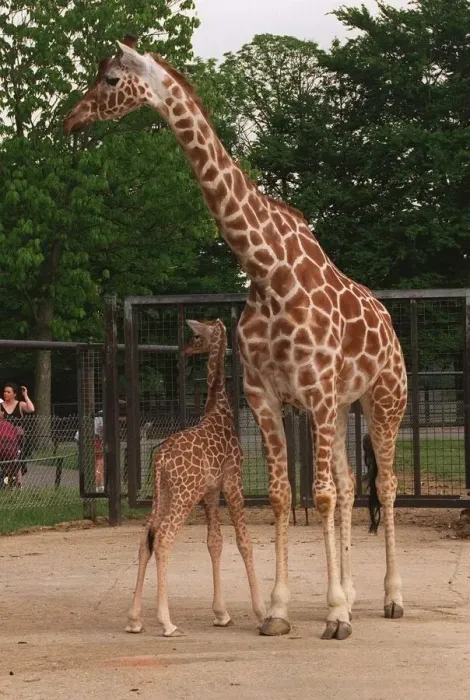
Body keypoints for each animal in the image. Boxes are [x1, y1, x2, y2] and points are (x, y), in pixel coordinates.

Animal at [125, 318, 266, 637]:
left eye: (196, 336)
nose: (184, 350)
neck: (220, 410)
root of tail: (160, 459)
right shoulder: (233, 482)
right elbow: (244, 541)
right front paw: (261, 612)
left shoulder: (210, 493)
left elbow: (215, 542)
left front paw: (222, 613)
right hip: (183, 495)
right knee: (163, 538)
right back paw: (166, 622)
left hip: (164, 493)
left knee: (145, 538)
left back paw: (135, 619)